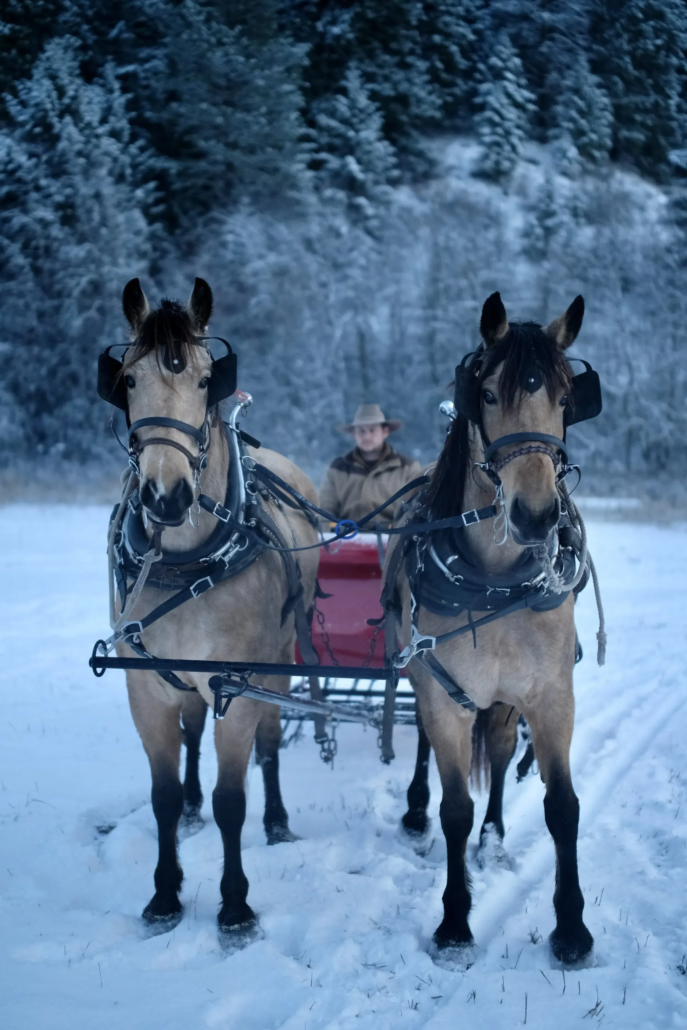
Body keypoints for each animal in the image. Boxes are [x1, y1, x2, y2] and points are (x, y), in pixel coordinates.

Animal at [105, 278, 319, 938]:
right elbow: (164, 795)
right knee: (193, 732)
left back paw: (276, 820)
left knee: (270, 745)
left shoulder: (239, 683)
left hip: (279, 659)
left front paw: (234, 904)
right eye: (128, 378)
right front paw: (164, 894)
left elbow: (233, 799)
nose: (165, 495)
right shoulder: (145, 688)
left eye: (205, 380)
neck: (187, 562)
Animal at [385, 291, 596, 967]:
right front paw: (455, 920)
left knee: (502, 751)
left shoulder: (551, 696)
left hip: (507, 697)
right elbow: (455, 806)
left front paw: (571, 926)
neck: (495, 580)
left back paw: (496, 835)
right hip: (423, 674)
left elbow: (562, 806)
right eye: (488, 393)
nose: (536, 515)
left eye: (566, 398)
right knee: (427, 751)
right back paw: (416, 811)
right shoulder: (444, 695)